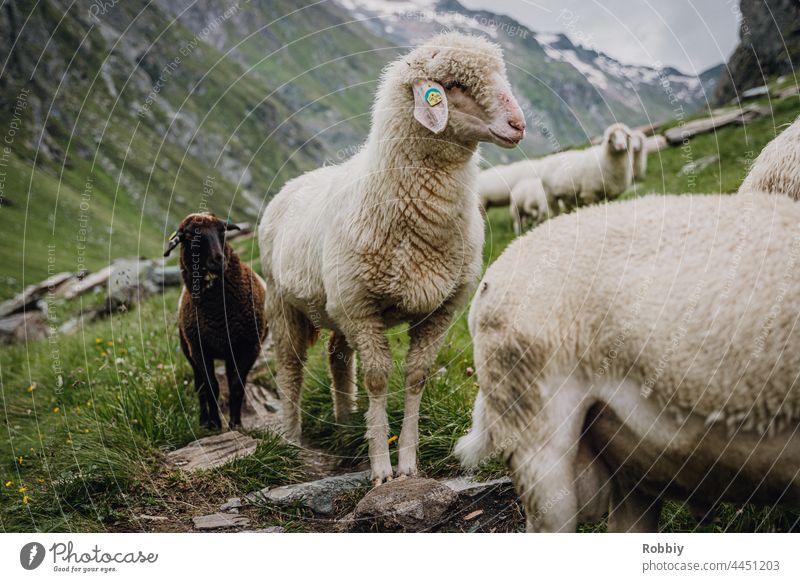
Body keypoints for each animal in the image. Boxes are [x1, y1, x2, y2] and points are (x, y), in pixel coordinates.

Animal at [166, 213, 268, 428]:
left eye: (222, 230)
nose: (218, 260)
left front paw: (235, 423)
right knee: (199, 384)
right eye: (189, 235)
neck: (218, 313)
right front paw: (214, 424)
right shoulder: (199, 349)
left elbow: (236, 385)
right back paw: (204, 419)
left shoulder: (250, 347)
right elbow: (210, 386)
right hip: (188, 349)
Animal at [260, 32, 528, 488]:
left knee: (337, 357)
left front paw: (406, 462)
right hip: (285, 304)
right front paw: (381, 468)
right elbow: (378, 377)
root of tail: (298, 181)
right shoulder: (361, 307)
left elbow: (416, 376)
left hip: (337, 306)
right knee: (292, 367)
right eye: (453, 84)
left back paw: (346, 425)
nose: (519, 124)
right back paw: (292, 437)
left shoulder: (440, 309)